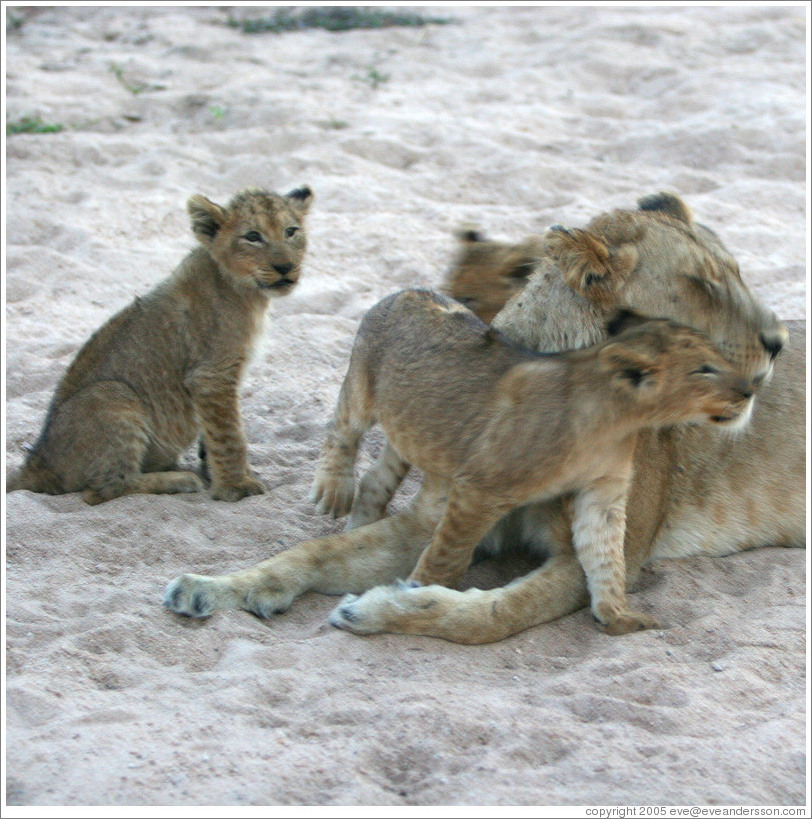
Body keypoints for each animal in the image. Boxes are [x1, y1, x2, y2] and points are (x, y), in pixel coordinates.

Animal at [7, 185, 314, 505]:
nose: (285, 267)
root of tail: (36, 463)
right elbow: (230, 435)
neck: (247, 292)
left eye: (291, 231)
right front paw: (235, 485)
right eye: (253, 236)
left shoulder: (212, 380)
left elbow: (212, 434)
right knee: (103, 490)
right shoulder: (212, 373)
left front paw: (216, 472)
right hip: (111, 394)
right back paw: (177, 480)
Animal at [311, 290, 755, 635]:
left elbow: (606, 558)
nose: (750, 390)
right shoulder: (480, 487)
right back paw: (333, 490)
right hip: (362, 390)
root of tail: (407, 290)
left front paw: (619, 616)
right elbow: (447, 556)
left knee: (376, 475)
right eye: (704, 369)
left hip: (413, 433)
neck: (617, 421)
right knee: (342, 430)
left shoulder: (602, 494)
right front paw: (413, 590)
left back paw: (359, 521)